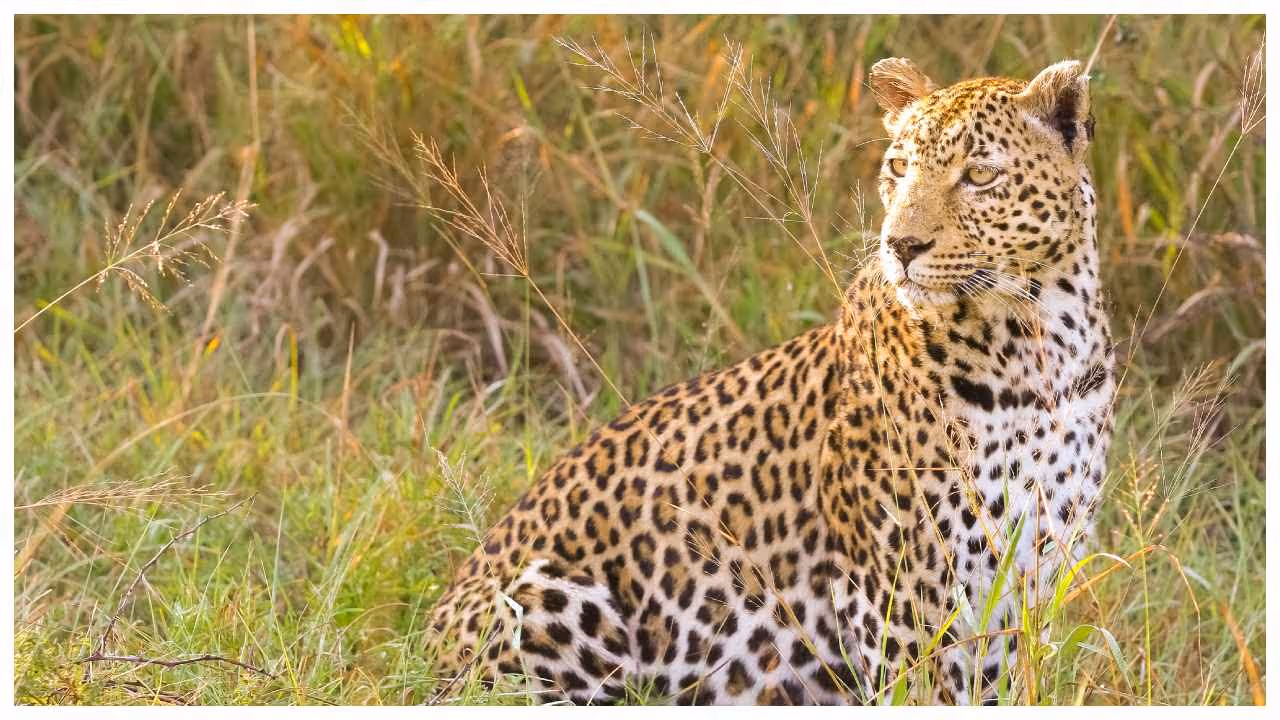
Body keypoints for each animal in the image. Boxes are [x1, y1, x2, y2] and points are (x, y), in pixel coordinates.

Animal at [423, 57, 1115, 706]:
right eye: (898, 167)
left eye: (979, 176)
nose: (900, 245)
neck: (1036, 347)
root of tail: (427, 644)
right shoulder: (900, 594)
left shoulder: (1028, 581)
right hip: (547, 597)